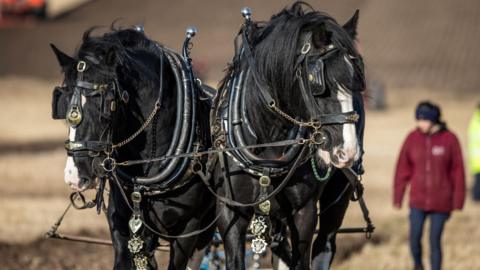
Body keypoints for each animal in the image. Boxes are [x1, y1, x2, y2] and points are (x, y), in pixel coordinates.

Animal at [209, 2, 364, 270]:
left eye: (356, 82)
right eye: (318, 83)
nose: (347, 151)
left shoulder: (304, 211)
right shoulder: (230, 212)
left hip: (339, 193)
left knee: (325, 244)